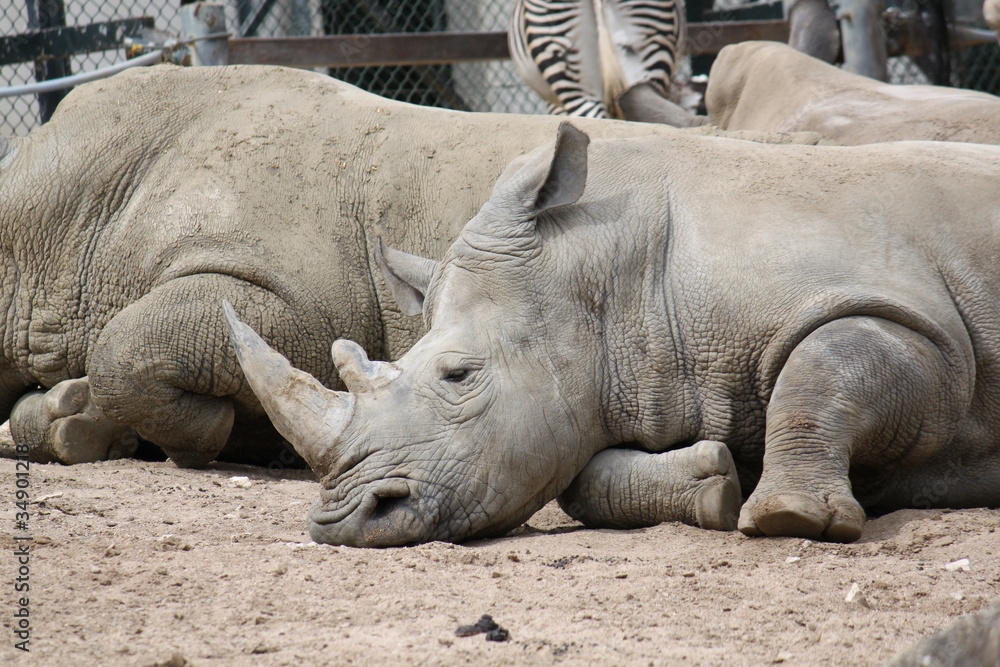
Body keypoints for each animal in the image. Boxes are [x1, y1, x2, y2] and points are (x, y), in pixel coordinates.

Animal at [227, 122, 1000, 547]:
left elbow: (824, 368)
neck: (610, 273)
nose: (344, 520)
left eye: (459, 375)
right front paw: (717, 484)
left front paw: (789, 518)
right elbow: (582, 480)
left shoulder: (921, 330)